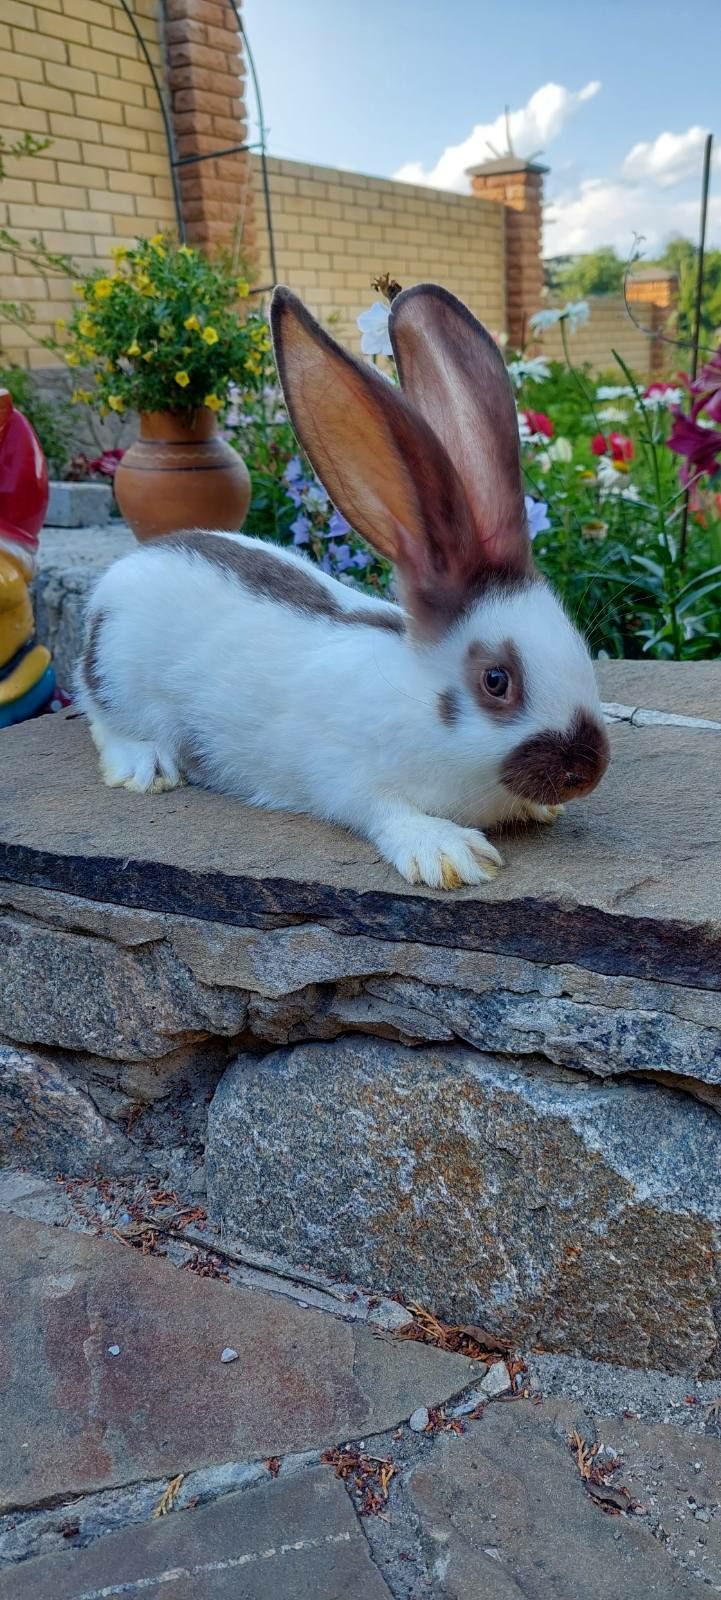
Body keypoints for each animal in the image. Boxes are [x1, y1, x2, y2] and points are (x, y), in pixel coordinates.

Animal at [77, 281, 610, 896]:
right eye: (496, 681)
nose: (588, 771)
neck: (410, 697)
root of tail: (123, 571)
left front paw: (539, 810)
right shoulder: (344, 774)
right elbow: (383, 811)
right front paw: (450, 854)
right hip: (119, 679)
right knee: (102, 718)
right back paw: (146, 769)